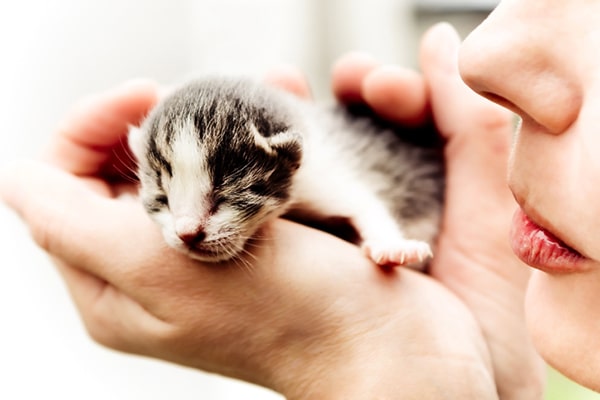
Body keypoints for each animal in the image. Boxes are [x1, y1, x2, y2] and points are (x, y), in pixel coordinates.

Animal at [129, 76, 442, 268]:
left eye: (225, 196)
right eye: (162, 199)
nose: (186, 234)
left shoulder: (321, 177)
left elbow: (365, 205)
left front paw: (393, 247)